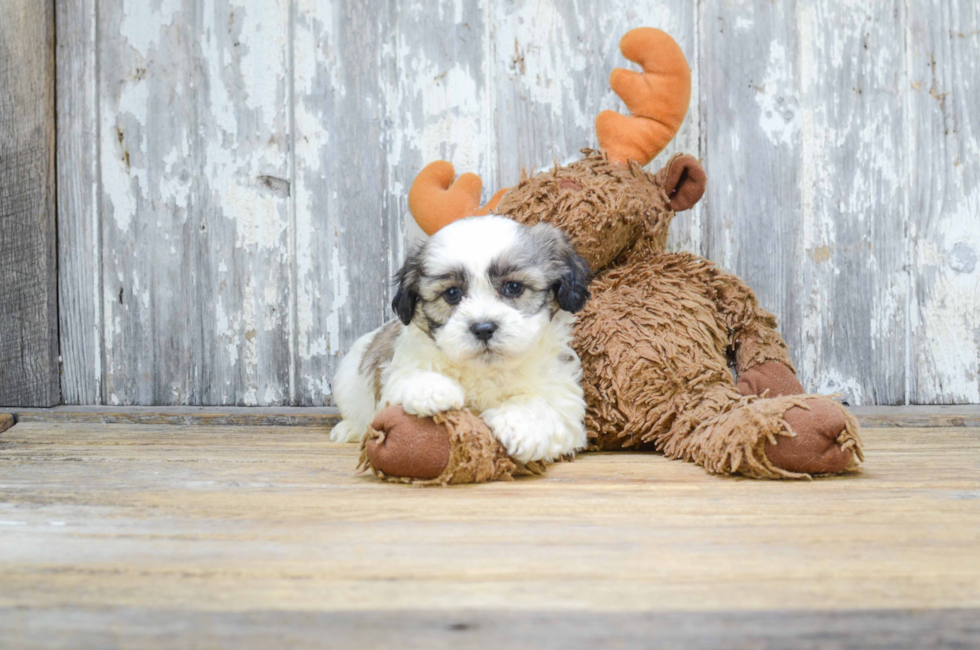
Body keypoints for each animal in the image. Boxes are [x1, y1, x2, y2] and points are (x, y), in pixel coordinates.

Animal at [330, 215, 588, 464]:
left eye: (514, 287)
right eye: (452, 294)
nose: (483, 328)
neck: (485, 370)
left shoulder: (563, 396)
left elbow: (546, 405)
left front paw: (519, 425)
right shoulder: (399, 369)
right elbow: (409, 376)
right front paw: (432, 389)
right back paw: (348, 428)